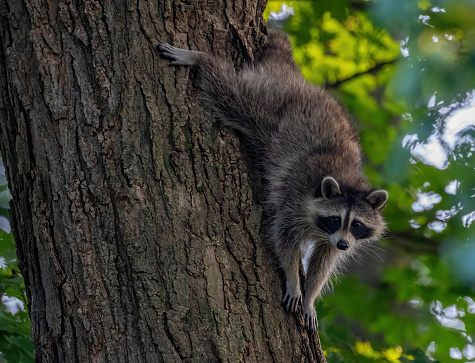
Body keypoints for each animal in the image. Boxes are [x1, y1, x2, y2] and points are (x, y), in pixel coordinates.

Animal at [158, 31, 388, 332]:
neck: (348, 182)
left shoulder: (335, 235)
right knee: (231, 94)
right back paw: (202, 60)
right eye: (336, 218)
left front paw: (311, 295)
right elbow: (284, 237)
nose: (344, 245)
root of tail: (294, 76)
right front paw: (293, 280)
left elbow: (324, 260)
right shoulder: (295, 197)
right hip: (268, 99)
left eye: (357, 224)